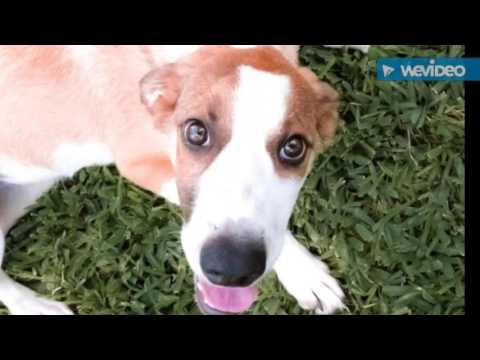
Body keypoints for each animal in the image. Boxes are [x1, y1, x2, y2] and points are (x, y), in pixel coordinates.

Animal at [0, 45, 370, 316]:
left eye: (293, 147)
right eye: (195, 132)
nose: (230, 270)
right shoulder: (139, 163)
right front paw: (304, 273)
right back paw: (36, 307)